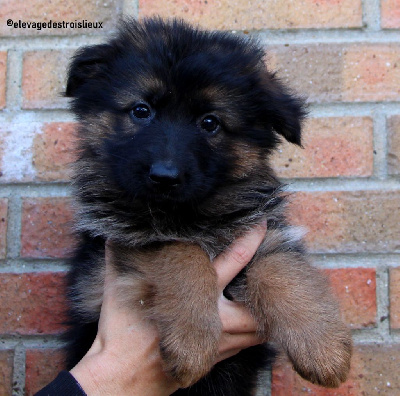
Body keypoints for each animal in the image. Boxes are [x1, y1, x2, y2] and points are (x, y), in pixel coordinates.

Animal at [64, 18, 352, 396]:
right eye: (141, 111)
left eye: (210, 122)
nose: (165, 176)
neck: (192, 215)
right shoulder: (130, 237)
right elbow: (182, 254)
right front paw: (192, 342)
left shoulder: (261, 233)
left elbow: (282, 270)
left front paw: (322, 347)